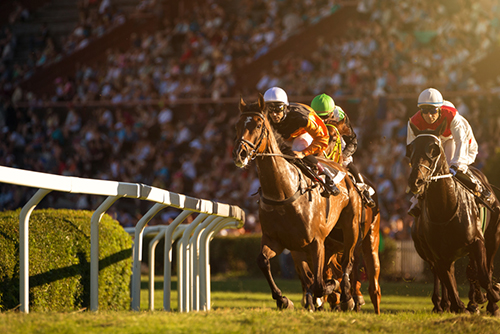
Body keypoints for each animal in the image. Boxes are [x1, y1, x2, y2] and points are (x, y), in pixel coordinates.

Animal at [232, 93, 362, 308]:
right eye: (238, 124)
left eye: (258, 125)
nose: (240, 154)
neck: (283, 192)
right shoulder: (276, 240)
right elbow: (263, 261)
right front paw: (283, 299)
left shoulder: (316, 242)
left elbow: (319, 284)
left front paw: (330, 288)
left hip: (350, 227)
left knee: (347, 262)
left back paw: (347, 297)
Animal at [406, 121, 500, 314]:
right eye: (410, 149)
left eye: (434, 149)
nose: (416, 181)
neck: (445, 209)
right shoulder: (438, 254)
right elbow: (448, 280)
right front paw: (458, 305)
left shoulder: (477, 241)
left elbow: (483, 274)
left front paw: (492, 298)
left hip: (493, 235)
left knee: (486, 267)